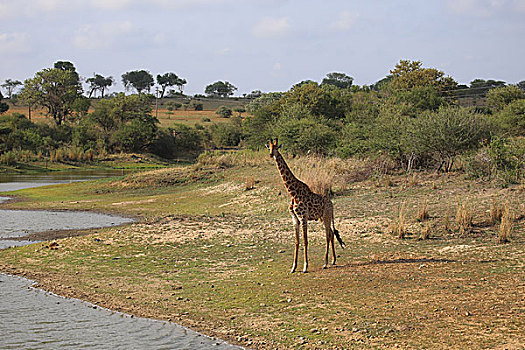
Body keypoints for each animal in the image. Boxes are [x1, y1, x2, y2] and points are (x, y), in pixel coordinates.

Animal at [266, 139, 344, 274]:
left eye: (276, 148)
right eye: (269, 147)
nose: (271, 154)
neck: (292, 193)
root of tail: (331, 204)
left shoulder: (303, 217)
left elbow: (305, 241)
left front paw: (305, 267)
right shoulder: (295, 218)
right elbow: (297, 241)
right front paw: (293, 267)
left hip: (326, 216)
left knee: (327, 235)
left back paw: (325, 263)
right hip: (324, 218)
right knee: (331, 233)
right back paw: (333, 261)